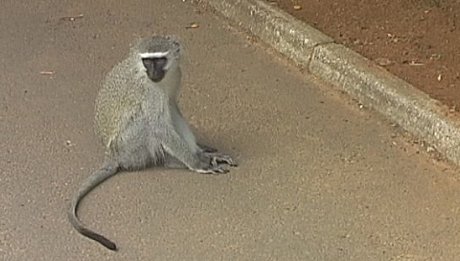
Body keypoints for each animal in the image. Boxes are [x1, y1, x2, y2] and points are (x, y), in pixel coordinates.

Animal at [70, 35, 239, 250]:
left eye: (159, 60)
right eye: (147, 61)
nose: (153, 72)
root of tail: (111, 156)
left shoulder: (175, 76)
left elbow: (172, 106)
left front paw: (202, 154)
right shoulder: (150, 92)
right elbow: (158, 125)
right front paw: (198, 163)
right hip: (128, 146)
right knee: (147, 121)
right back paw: (171, 161)